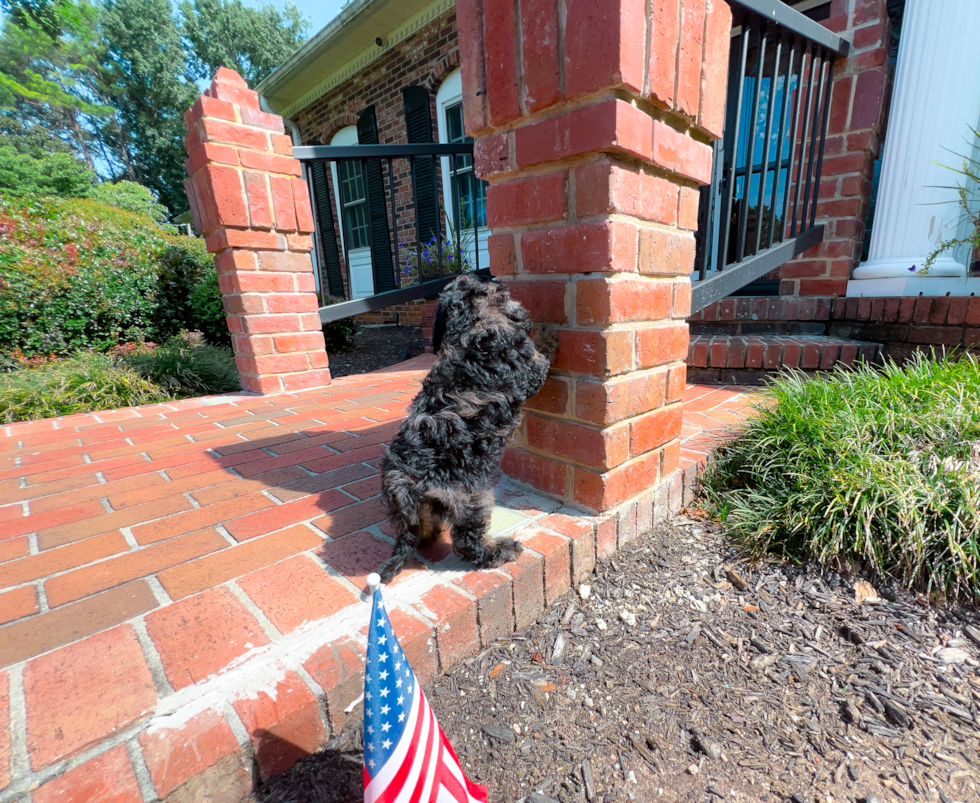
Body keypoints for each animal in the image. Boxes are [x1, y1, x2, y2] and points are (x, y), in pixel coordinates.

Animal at [378, 274, 560, 580]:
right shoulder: (532, 370)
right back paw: (500, 551)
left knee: (420, 531)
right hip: (472, 496)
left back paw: (428, 534)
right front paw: (549, 334)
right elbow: (540, 355)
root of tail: (406, 486)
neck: (468, 330)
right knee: (468, 541)